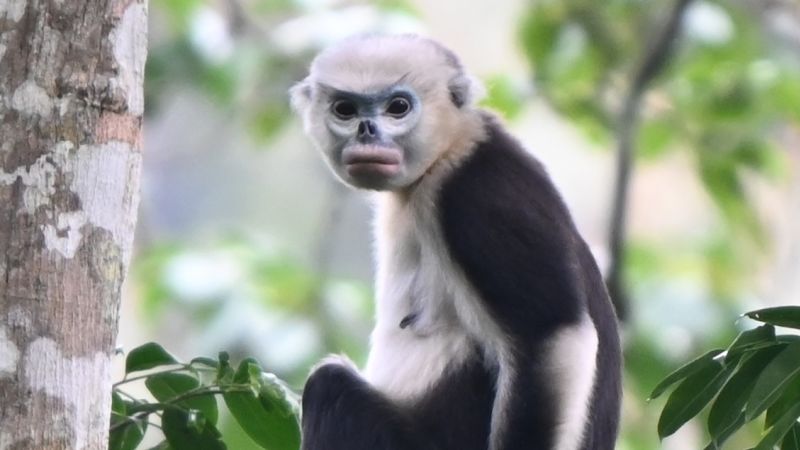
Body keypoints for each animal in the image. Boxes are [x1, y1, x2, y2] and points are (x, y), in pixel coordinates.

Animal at [289, 34, 622, 450]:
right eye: (345, 110)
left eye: (398, 107)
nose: (366, 131)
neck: (449, 149)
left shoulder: (474, 193)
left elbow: (552, 333)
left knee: (329, 384)